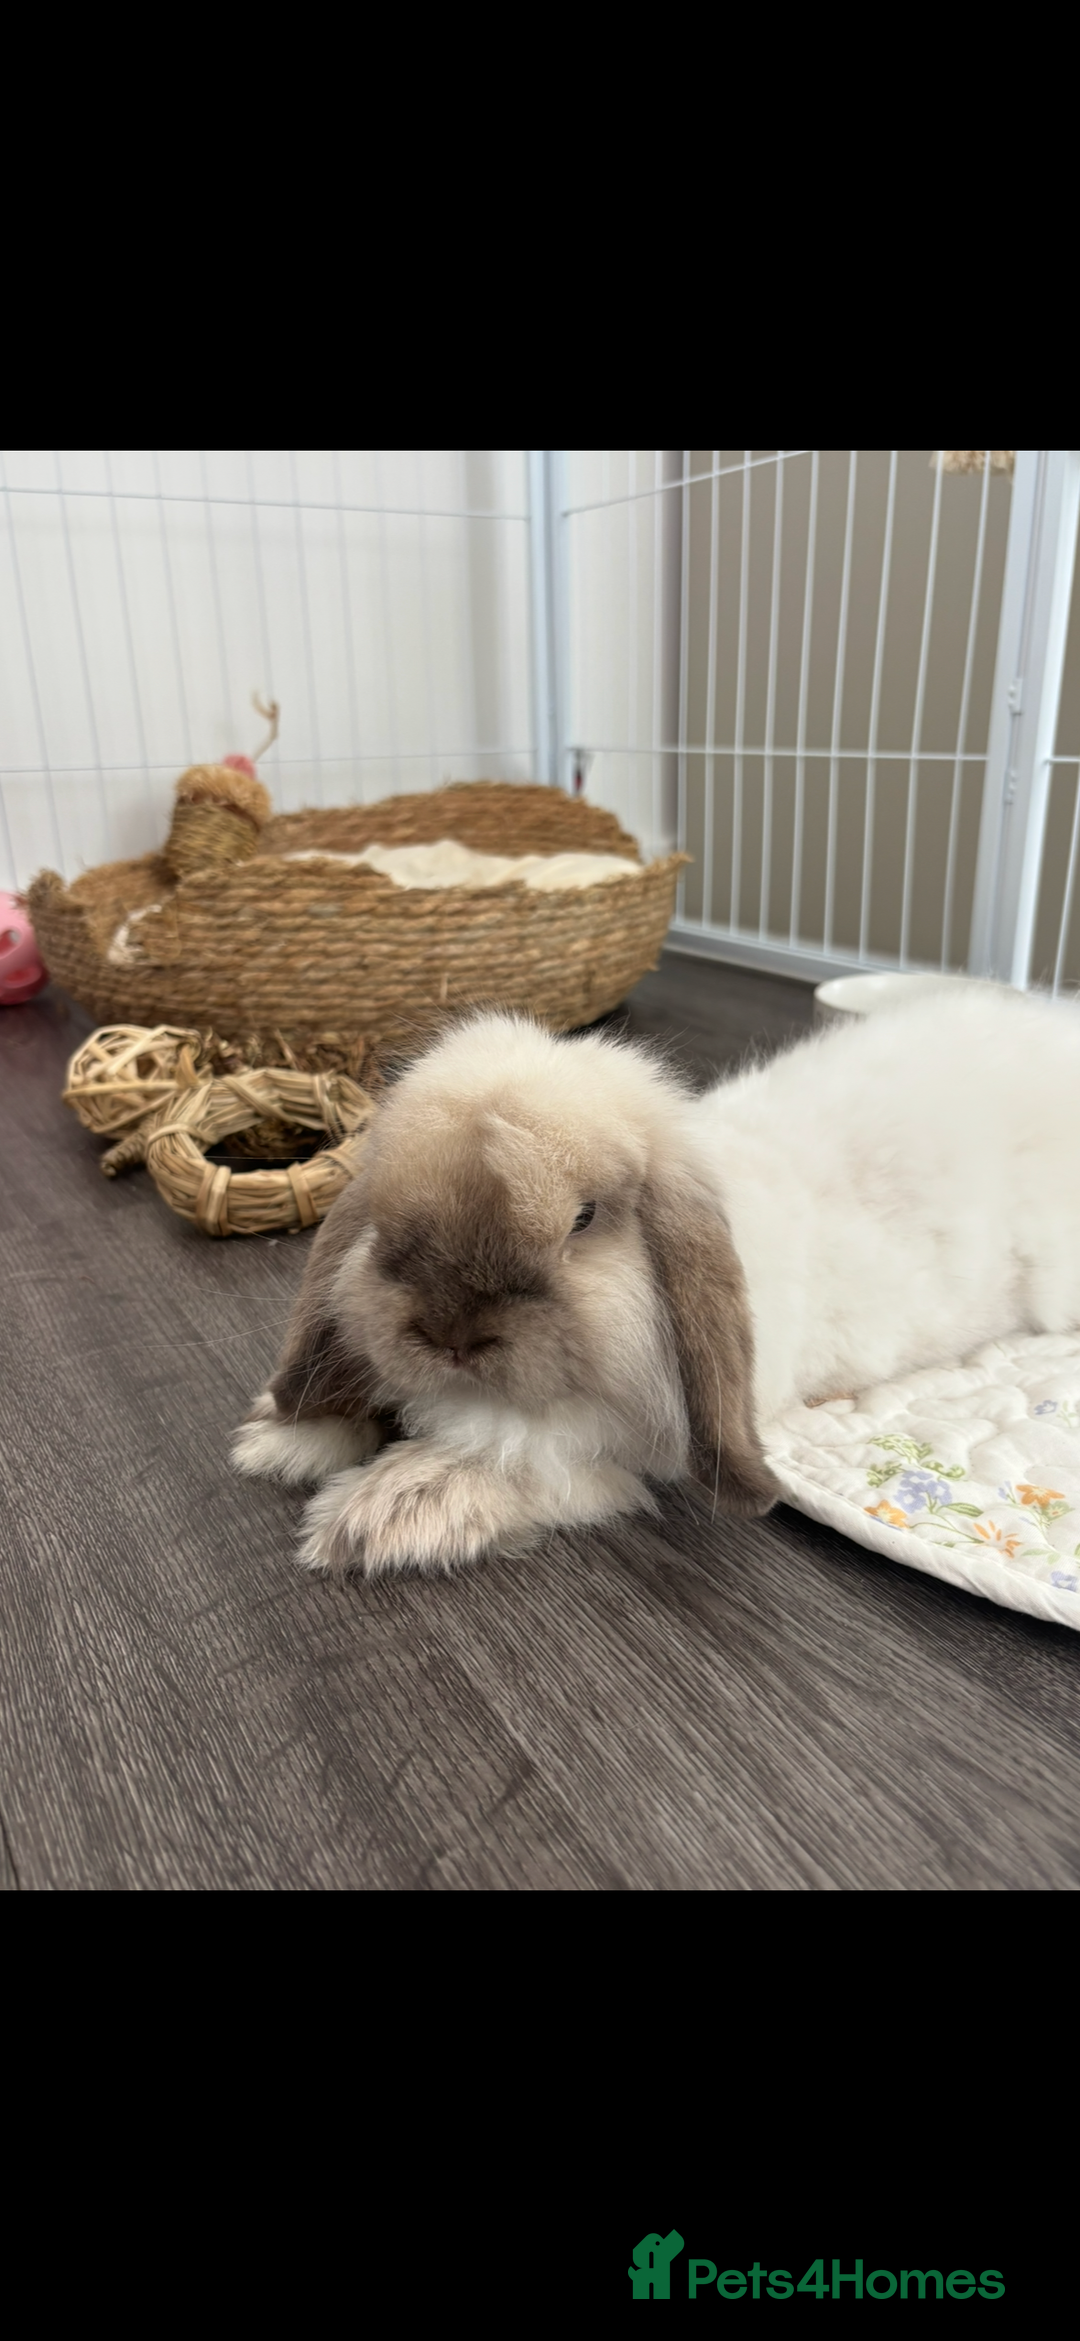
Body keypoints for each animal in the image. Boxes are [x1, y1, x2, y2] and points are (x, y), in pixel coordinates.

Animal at [232, 984, 1080, 1578]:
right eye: (385, 1220)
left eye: (583, 1219)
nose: (451, 1336)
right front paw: (276, 1441)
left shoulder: (615, 1439)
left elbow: (512, 1449)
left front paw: (383, 1514)